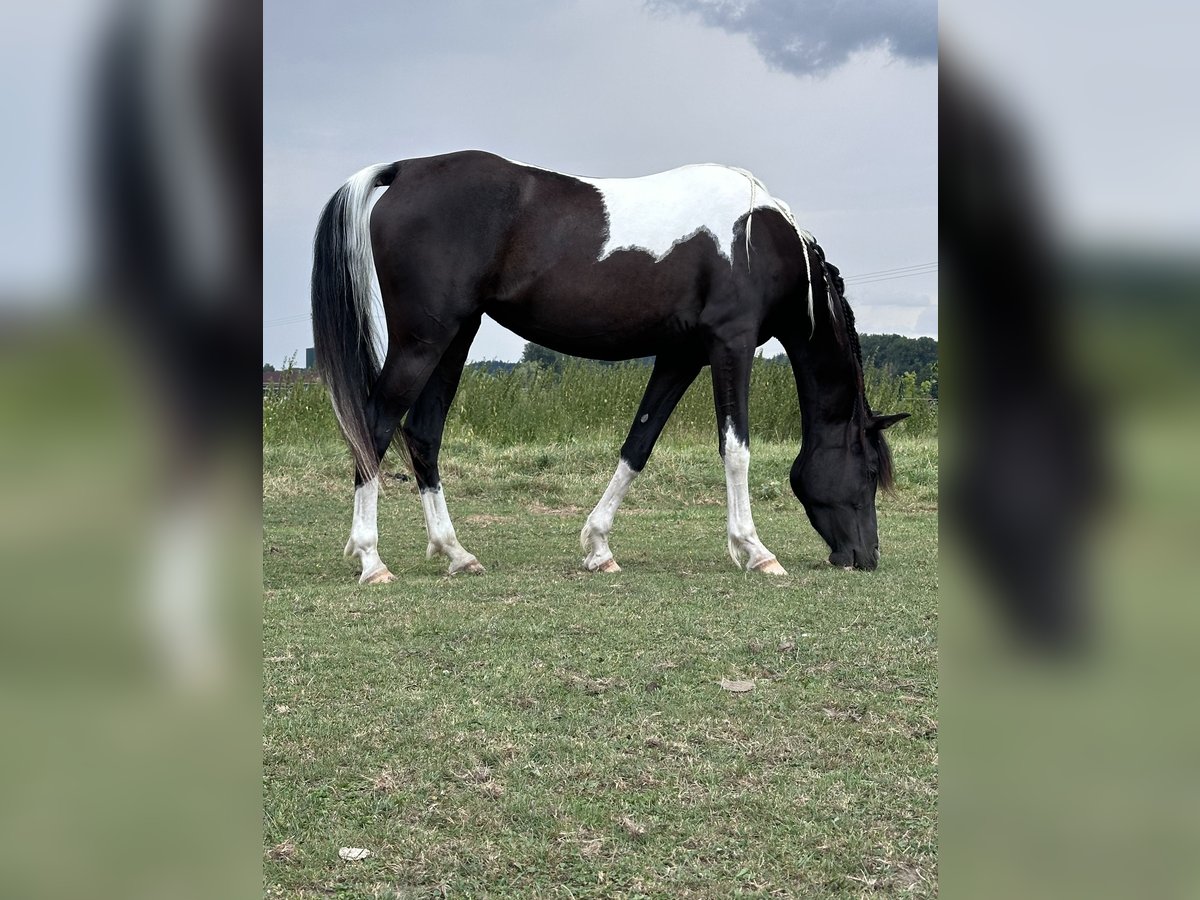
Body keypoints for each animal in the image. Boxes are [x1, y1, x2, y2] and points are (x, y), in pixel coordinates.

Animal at [312, 150, 907, 585]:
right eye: (869, 472)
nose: (866, 557)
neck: (758, 238)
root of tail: (406, 169)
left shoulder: (681, 354)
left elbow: (638, 444)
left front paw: (599, 547)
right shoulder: (729, 345)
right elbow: (735, 450)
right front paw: (756, 551)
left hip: (455, 338)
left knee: (422, 434)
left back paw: (458, 553)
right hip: (423, 341)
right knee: (374, 427)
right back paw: (372, 561)